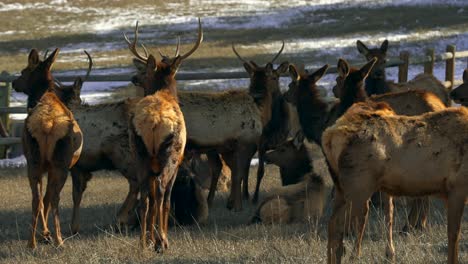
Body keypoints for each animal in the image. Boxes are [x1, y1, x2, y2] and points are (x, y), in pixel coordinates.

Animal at [322, 100, 468, 264]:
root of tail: (329, 135)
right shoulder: (457, 187)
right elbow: (454, 235)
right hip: (358, 187)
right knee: (337, 225)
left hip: (341, 188)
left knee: (333, 225)